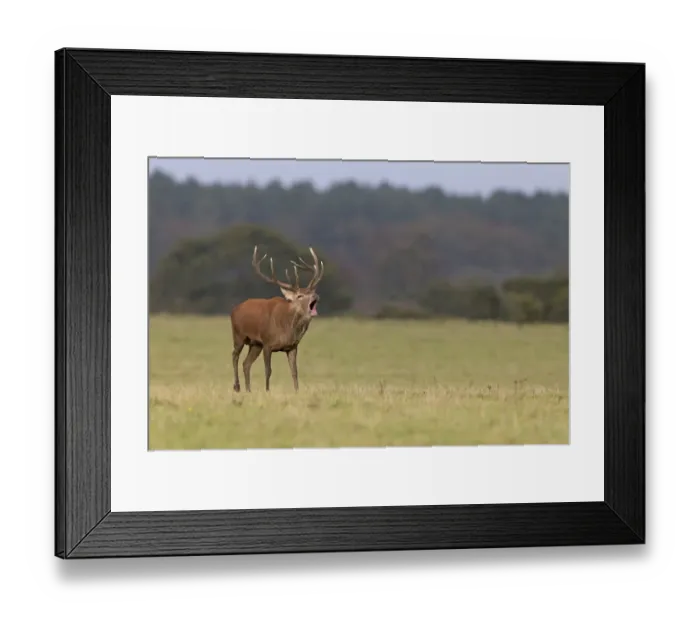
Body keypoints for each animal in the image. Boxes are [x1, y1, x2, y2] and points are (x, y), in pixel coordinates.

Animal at [230, 245, 324, 393]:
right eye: (300, 296)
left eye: (312, 292)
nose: (316, 296)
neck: (287, 329)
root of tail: (234, 310)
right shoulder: (267, 343)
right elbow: (268, 370)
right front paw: (267, 391)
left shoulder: (292, 346)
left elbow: (294, 371)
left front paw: (297, 391)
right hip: (238, 335)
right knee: (234, 356)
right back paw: (237, 387)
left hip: (255, 344)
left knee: (246, 363)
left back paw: (248, 390)